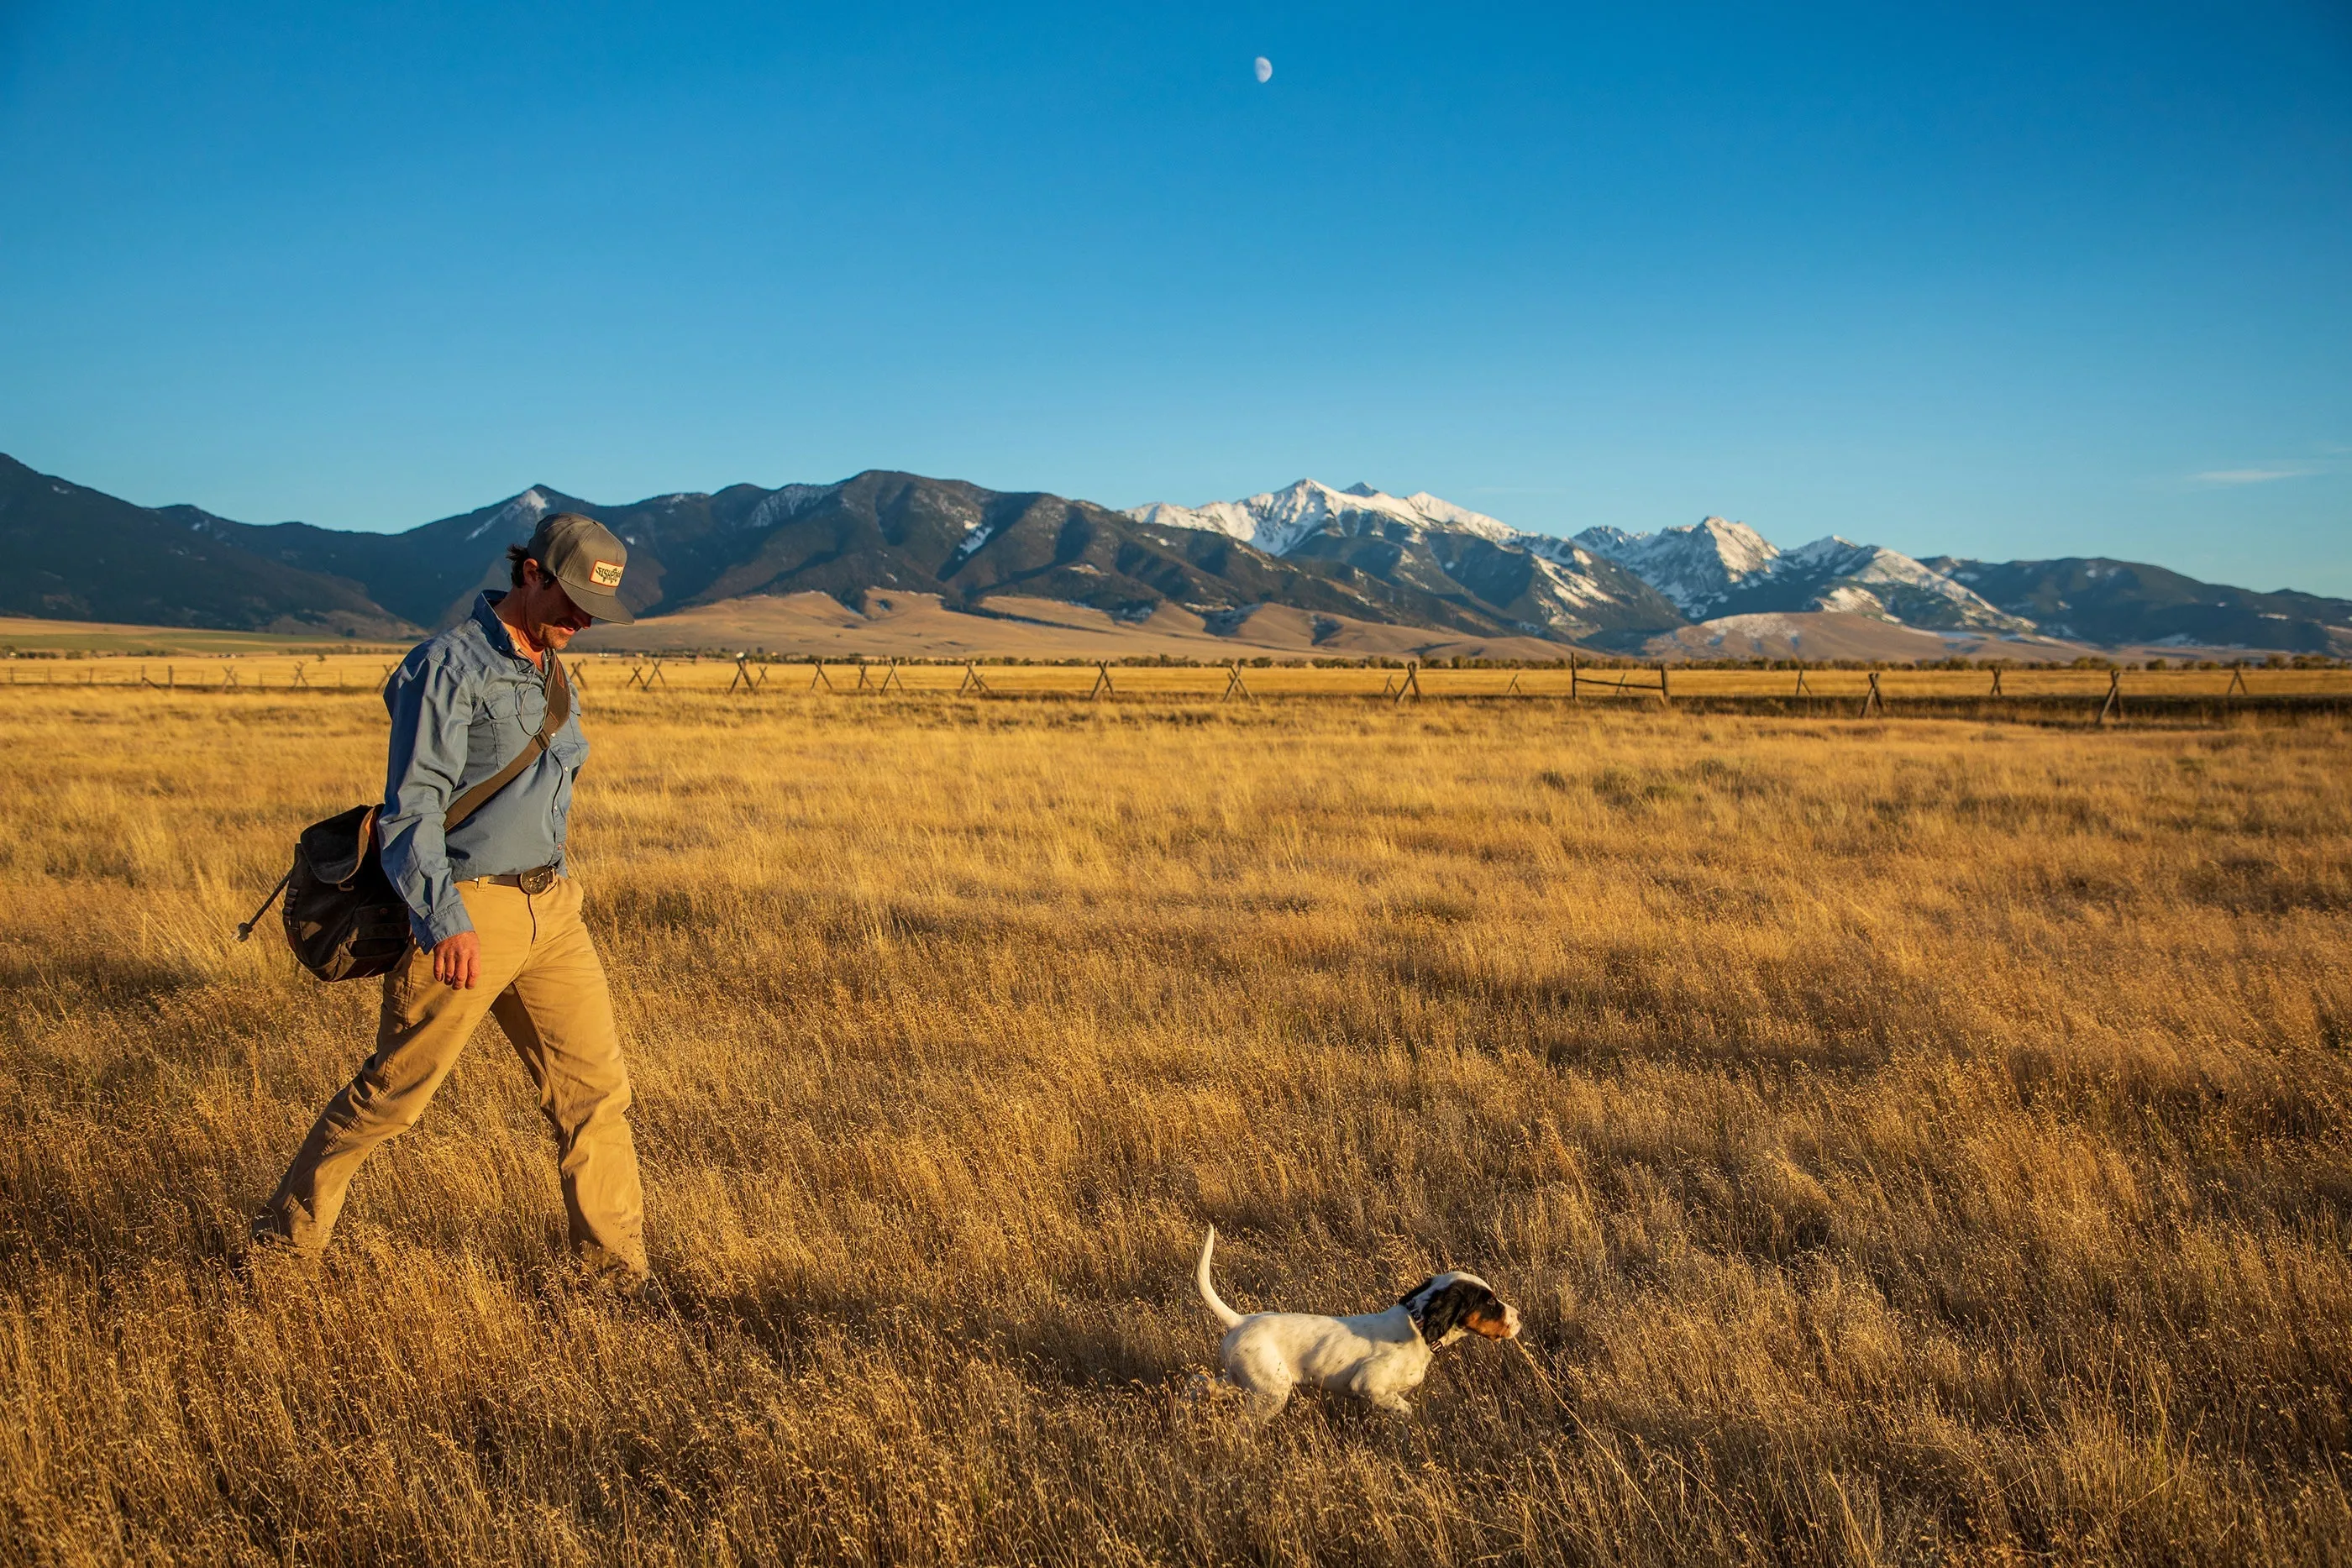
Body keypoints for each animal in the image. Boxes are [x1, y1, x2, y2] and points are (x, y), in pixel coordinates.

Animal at [1194, 1222, 1524, 1419]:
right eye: (1489, 1302)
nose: (1518, 1317)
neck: (1417, 1327)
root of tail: (1240, 1321)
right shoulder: (1370, 1384)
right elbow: (1406, 1410)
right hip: (1270, 1393)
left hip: (1243, 1380)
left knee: (1199, 1383)